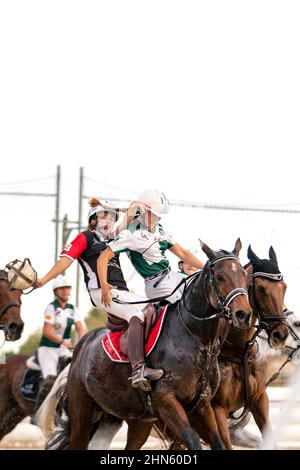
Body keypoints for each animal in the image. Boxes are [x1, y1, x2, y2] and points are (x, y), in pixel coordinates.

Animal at [40, 241, 253, 450]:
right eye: (219, 277)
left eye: (243, 274)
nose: (243, 314)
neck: (196, 337)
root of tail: (80, 347)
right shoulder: (167, 402)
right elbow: (193, 441)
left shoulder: (202, 405)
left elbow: (218, 443)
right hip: (82, 415)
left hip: (138, 421)